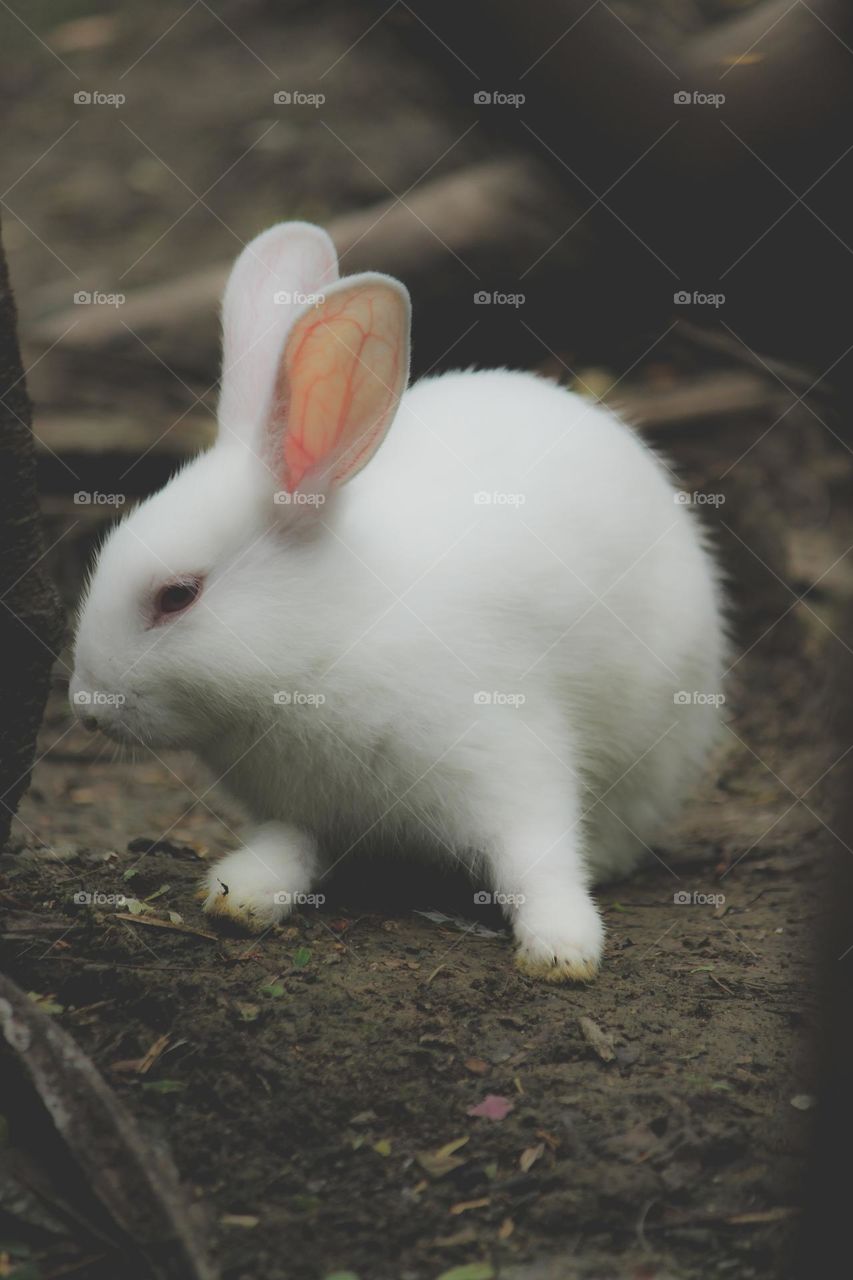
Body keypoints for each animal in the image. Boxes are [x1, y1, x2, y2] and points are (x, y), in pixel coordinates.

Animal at [70, 220, 726, 982]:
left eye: (177, 596)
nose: (86, 709)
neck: (323, 650)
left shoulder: (508, 758)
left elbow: (538, 860)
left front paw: (561, 949)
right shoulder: (300, 810)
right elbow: (289, 849)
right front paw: (242, 895)